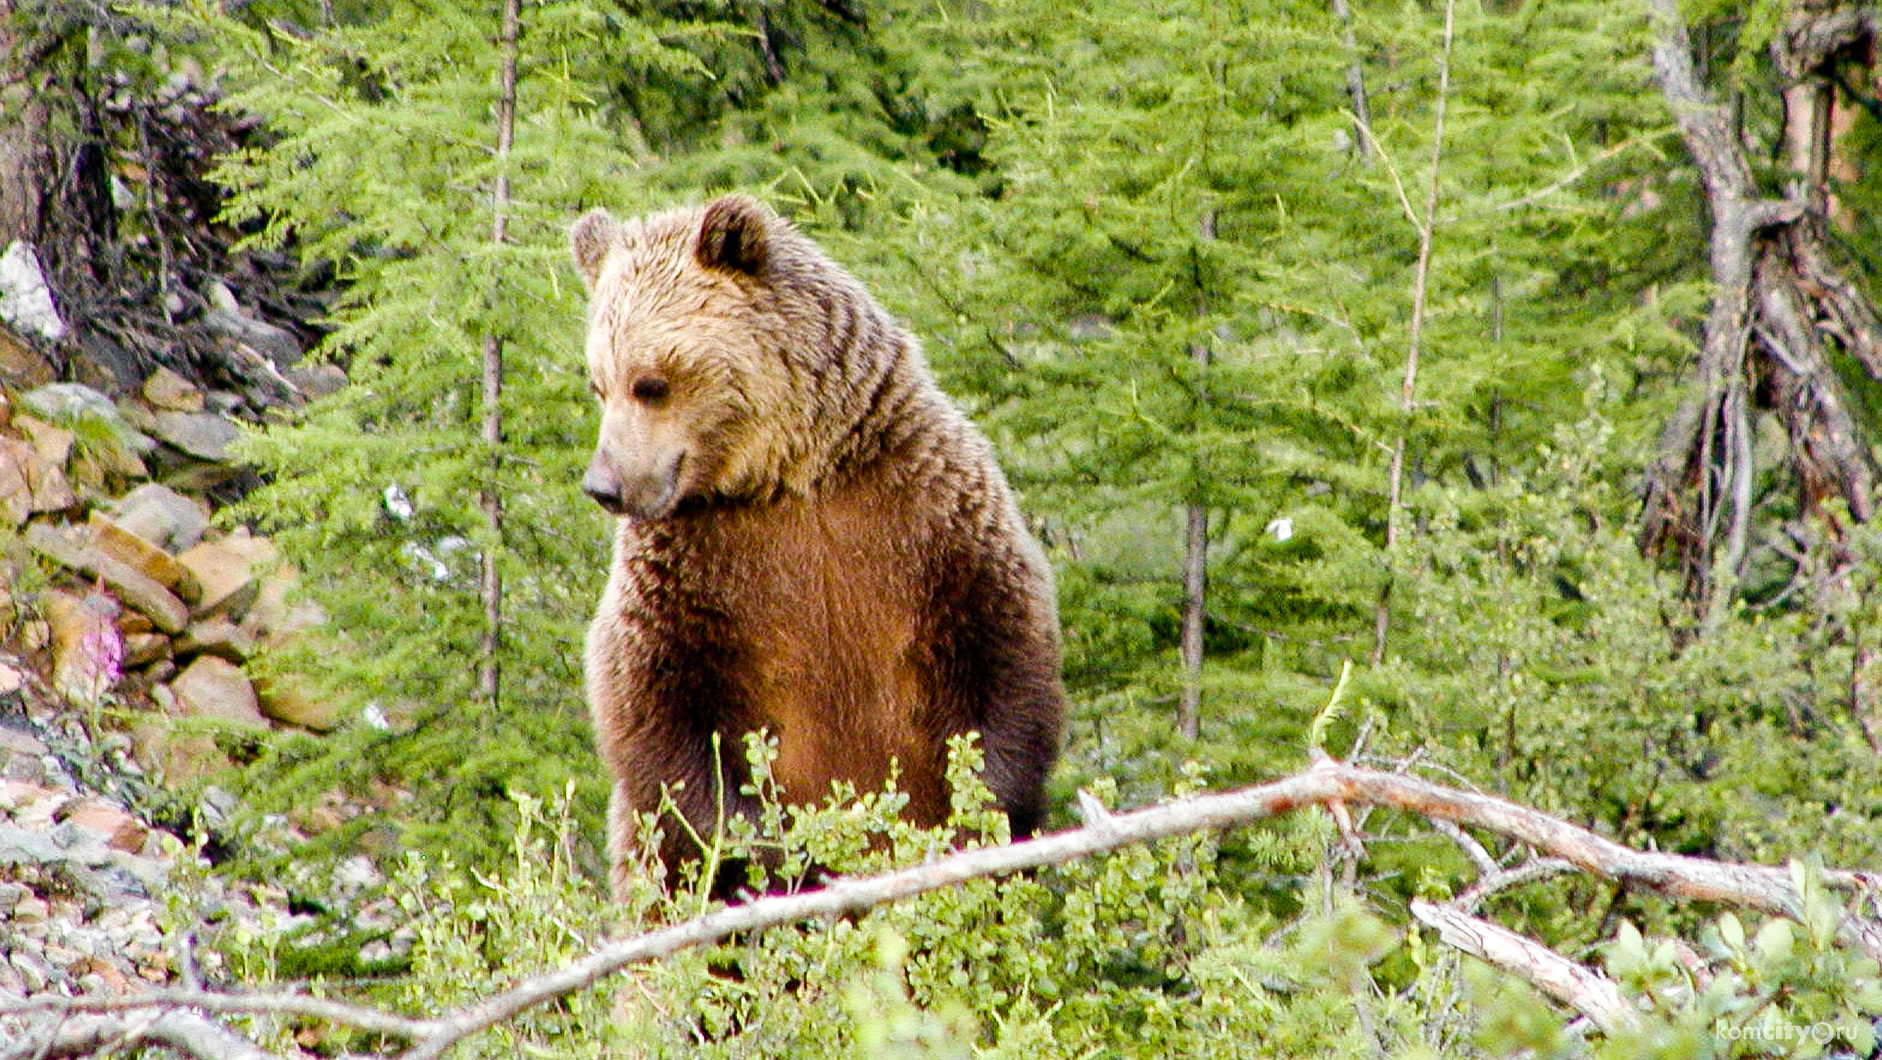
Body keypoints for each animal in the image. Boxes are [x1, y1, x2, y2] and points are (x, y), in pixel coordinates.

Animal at [564, 192, 1068, 896]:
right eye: (598, 383)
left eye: (650, 382)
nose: (605, 485)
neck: (792, 474)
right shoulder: (689, 568)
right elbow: (655, 711)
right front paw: (768, 848)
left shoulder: (925, 514)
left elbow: (1002, 652)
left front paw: (980, 816)